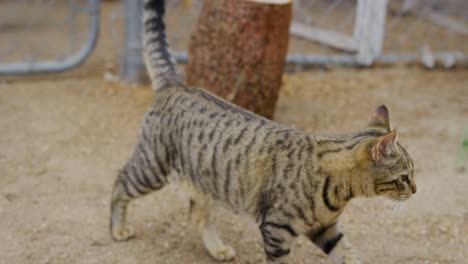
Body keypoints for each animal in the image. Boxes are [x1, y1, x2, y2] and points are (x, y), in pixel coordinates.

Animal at [110, 1, 416, 262]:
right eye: (404, 176)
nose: (415, 189)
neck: (339, 189)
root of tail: (177, 84)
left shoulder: (325, 229)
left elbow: (350, 254)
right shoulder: (275, 228)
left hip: (204, 180)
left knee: (198, 214)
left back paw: (217, 248)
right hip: (152, 167)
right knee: (121, 180)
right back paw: (117, 229)